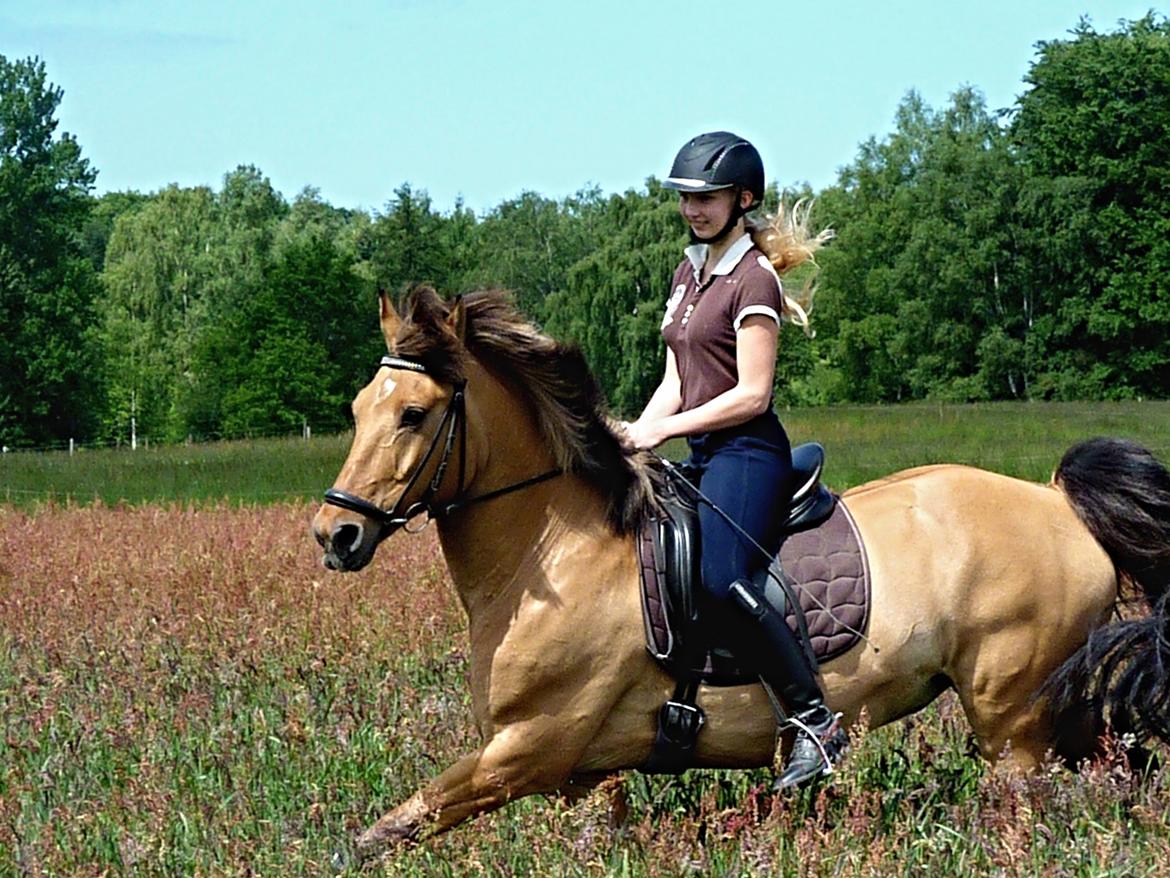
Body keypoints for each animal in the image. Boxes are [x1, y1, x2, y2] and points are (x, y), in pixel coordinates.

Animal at [308, 286, 1170, 866]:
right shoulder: (586, 774)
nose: (335, 533)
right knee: (1118, 765)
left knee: (1031, 807)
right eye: (356, 408)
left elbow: (394, 825)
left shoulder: (529, 748)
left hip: (1011, 721)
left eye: (414, 414)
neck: (550, 550)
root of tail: (1057, 499)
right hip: (1052, 713)